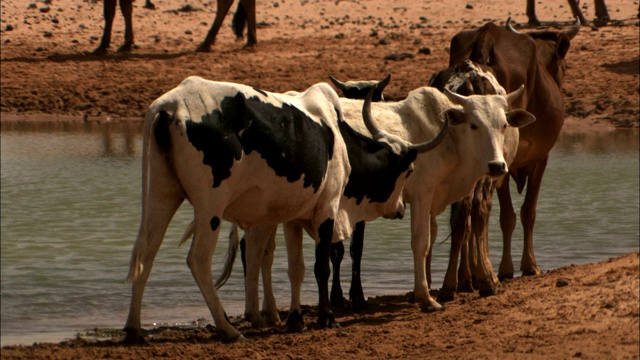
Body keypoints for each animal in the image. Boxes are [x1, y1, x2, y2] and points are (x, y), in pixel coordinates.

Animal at [125, 75, 444, 344]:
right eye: (408, 170)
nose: (400, 208)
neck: (339, 139)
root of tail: (170, 105)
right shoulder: (328, 210)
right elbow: (322, 266)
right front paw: (327, 318)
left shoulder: (294, 218)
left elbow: (296, 269)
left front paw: (295, 320)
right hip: (210, 208)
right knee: (198, 260)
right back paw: (227, 329)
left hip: (161, 196)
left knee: (145, 253)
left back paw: (134, 329)